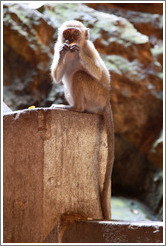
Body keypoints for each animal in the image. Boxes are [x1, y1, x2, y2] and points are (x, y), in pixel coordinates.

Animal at [51, 19, 115, 219]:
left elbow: (102, 75)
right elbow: (57, 78)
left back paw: (75, 109)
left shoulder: (90, 49)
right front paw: (64, 51)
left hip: (97, 95)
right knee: (68, 79)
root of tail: (106, 99)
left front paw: (77, 52)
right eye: (67, 33)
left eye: (75, 34)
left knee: (79, 75)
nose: (69, 40)